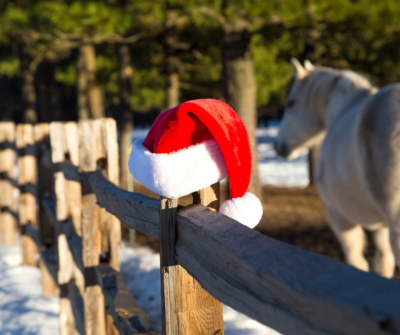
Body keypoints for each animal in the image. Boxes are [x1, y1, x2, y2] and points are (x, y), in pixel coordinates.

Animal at [276, 59, 400, 278]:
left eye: (290, 103)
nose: (278, 145)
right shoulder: (382, 227)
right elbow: (383, 263)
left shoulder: (339, 218)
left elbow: (357, 262)